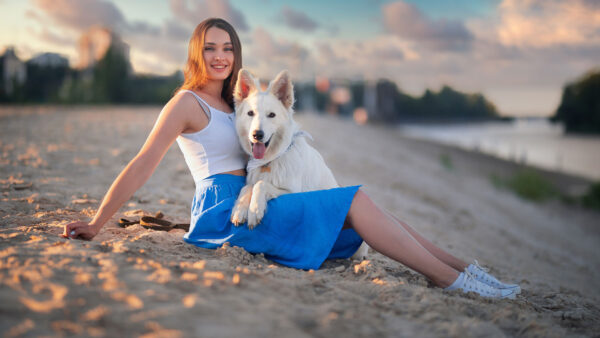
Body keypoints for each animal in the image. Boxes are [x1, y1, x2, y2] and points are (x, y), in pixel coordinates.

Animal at [231, 68, 368, 258]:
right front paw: (240, 209)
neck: (272, 159)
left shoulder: (292, 192)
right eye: (250, 113)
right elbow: (248, 187)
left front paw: (255, 210)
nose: (257, 135)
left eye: (271, 115)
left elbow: (260, 185)